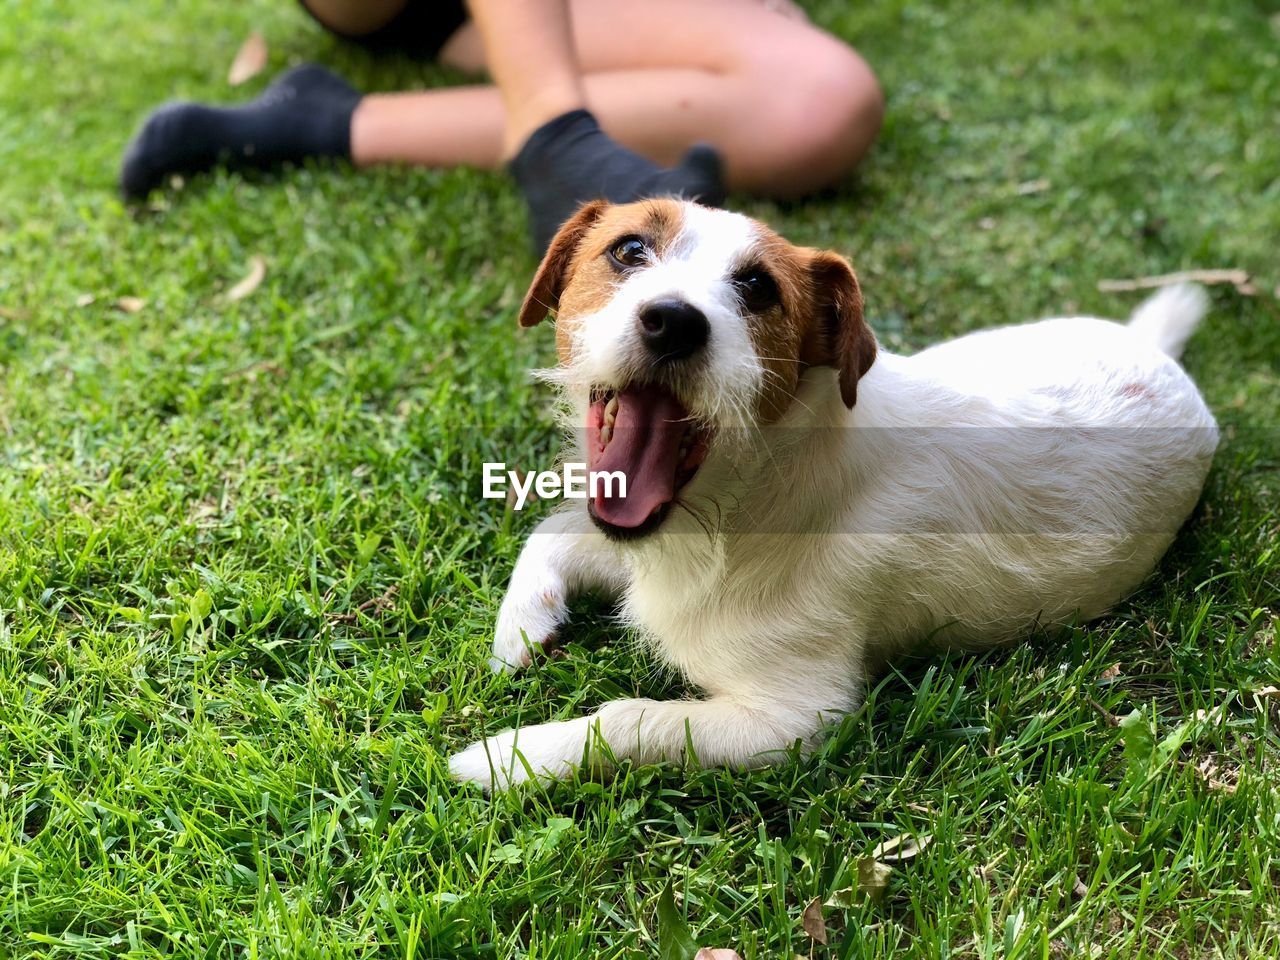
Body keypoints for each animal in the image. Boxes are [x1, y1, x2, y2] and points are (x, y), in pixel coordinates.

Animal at [450, 199, 1218, 793]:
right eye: (630, 249)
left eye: (759, 287)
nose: (673, 320)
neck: (741, 500)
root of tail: (1158, 355)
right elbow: (552, 533)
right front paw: (521, 629)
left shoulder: (791, 719)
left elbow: (632, 718)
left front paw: (509, 757)